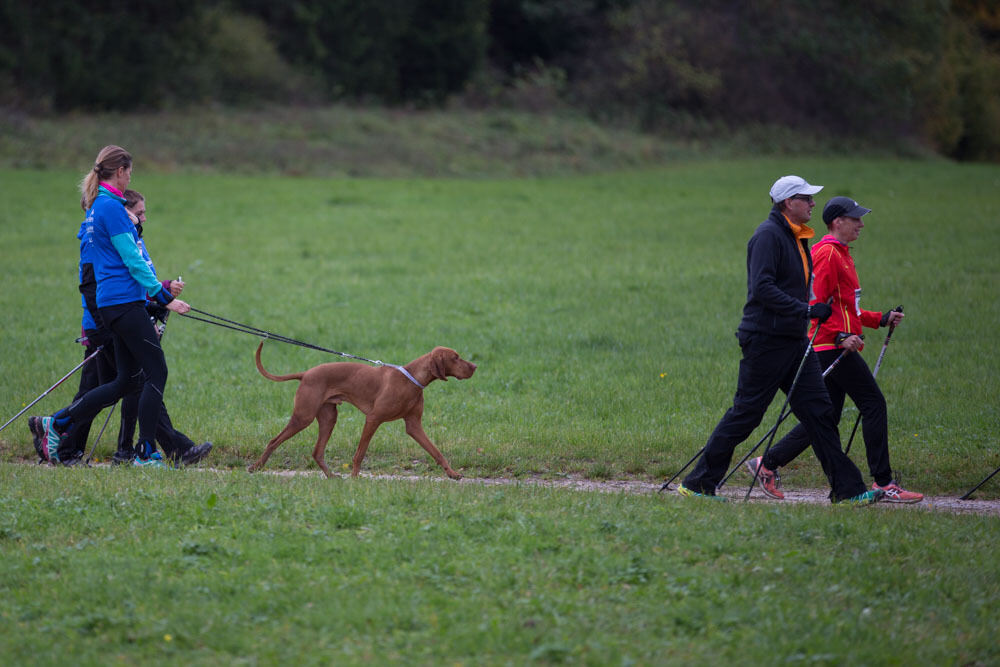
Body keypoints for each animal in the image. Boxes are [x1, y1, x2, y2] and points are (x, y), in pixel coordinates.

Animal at [245, 344, 472, 480]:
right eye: (456, 357)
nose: (475, 366)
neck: (411, 379)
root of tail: (306, 373)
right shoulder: (373, 419)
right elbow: (360, 453)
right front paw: (355, 478)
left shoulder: (414, 426)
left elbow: (436, 451)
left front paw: (452, 473)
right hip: (303, 417)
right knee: (274, 441)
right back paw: (256, 467)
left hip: (328, 418)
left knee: (317, 451)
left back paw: (331, 477)